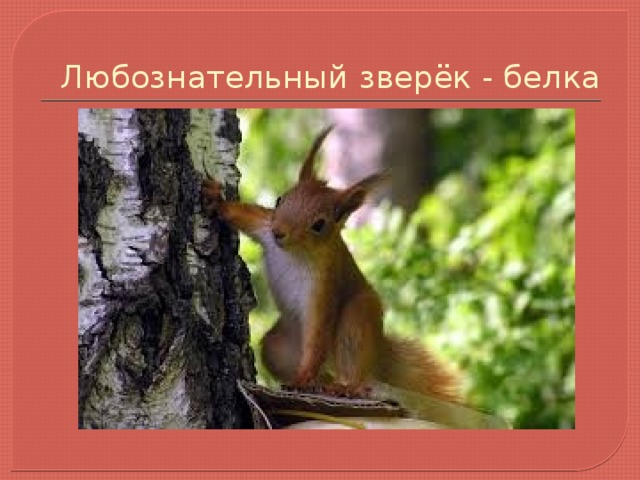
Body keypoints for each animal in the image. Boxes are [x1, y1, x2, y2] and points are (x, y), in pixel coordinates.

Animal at [202, 126, 461, 403]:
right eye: (280, 199)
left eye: (319, 224)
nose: (279, 232)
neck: (295, 252)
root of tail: (378, 351)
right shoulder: (264, 227)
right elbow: (244, 215)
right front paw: (216, 200)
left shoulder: (325, 286)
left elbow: (318, 334)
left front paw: (303, 378)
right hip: (278, 346)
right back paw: (319, 383)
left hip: (358, 319)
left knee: (354, 366)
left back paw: (345, 386)